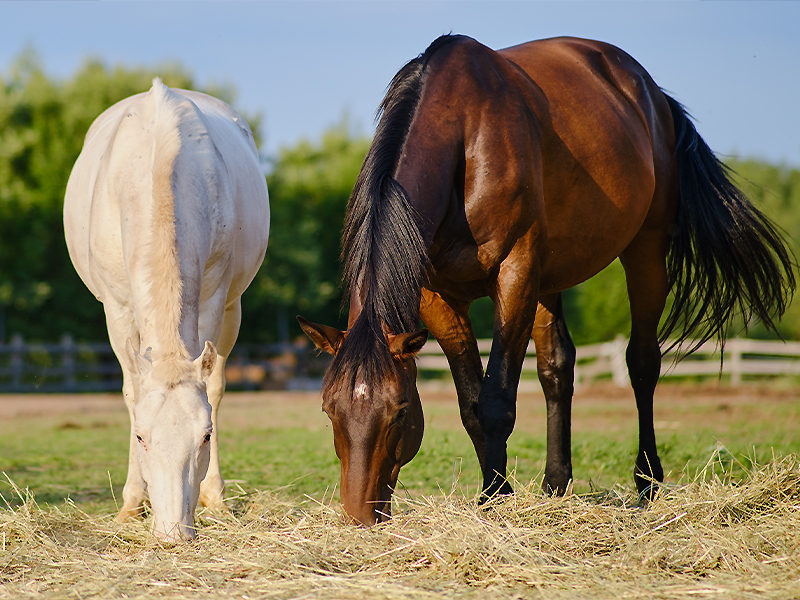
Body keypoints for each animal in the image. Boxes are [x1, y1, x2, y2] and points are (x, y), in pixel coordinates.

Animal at [64, 79, 270, 544]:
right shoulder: (118, 309)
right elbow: (131, 391)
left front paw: (213, 498)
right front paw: (131, 503)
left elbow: (211, 388)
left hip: (233, 307)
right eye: (141, 437)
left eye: (206, 436)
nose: (174, 532)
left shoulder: (213, 299)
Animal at [298, 36, 792, 524]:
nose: (360, 515)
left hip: (644, 250)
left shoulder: (515, 273)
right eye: (328, 410)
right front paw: (498, 491)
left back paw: (647, 480)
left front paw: (495, 498)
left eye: (400, 411)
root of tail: (652, 94)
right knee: (557, 366)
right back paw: (556, 485)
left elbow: (495, 401)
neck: (463, 136)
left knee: (642, 363)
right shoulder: (439, 298)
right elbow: (471, 404)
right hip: (549, 279)